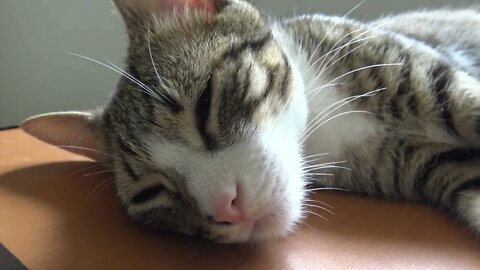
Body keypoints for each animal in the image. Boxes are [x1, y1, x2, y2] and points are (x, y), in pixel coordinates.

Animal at [20, 0, 480, 244]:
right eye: (152, 192)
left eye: (205, 103)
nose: (228, 208)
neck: (322, 126)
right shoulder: (425, 164)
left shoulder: (409, 69)